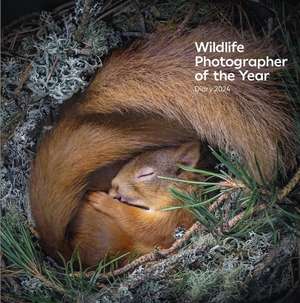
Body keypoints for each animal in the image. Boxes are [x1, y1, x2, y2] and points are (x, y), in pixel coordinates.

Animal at [29, 24, 296, 266]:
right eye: (130, 160)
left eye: (146, 174)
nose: (114, 186)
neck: (182, 190)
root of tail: (65, 254)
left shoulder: (176, 216)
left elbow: (143, 227)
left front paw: (103, 201)